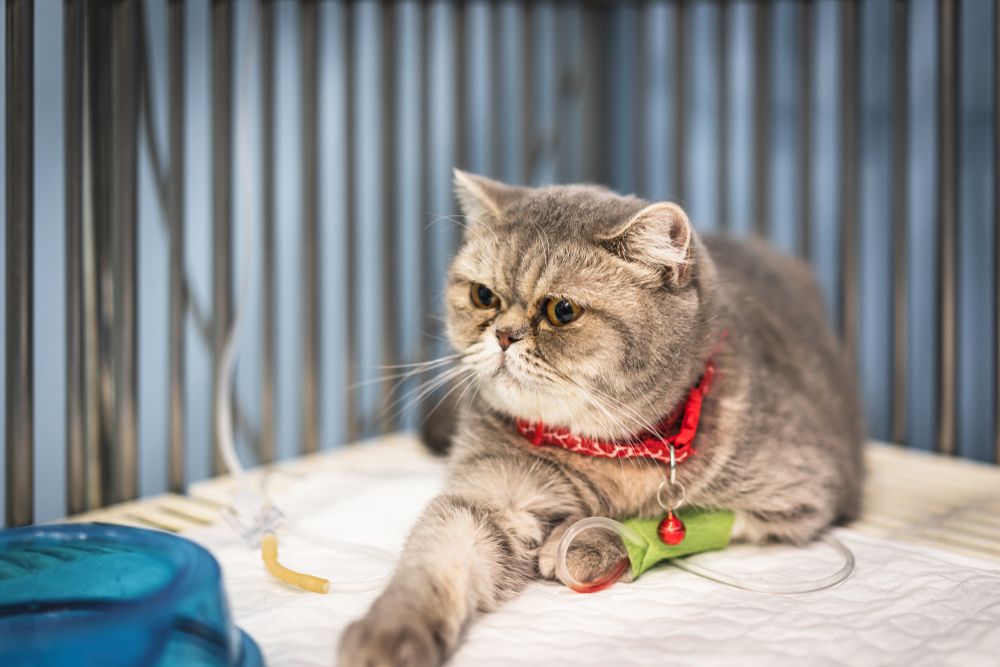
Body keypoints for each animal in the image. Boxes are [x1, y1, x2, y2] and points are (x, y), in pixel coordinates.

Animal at [338, 174, 868, 667]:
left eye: (562, 310)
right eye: (484, 296)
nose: (504, 336)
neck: (605, 450)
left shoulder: (802, 497)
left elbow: (671, 518)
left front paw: (583, 541)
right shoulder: (490, 496)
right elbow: (434, 558)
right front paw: (389, 630)